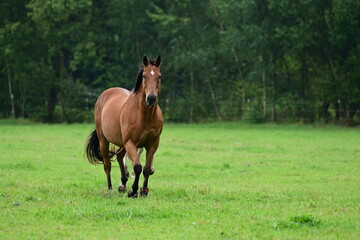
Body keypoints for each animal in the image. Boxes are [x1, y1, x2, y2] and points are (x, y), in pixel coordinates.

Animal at [84, 55, 163, 197]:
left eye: (159, 76)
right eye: (144, 76)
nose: (151, 98)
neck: (144, 115)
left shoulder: (153, 143)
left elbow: (147, 169)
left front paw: (144, 191)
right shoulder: (130, 142)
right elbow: (137, 167)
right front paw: (133, 191)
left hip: (122, 143)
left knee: (120, 156)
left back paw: (123, 184)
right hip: (104, 141)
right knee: (107, 164)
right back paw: (110, 188)